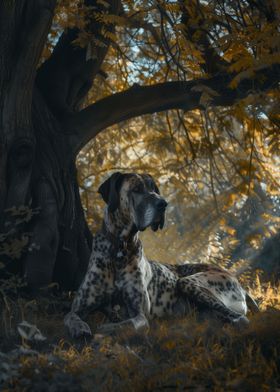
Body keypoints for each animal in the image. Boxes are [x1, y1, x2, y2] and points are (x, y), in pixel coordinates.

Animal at [64, 172, 260, 336]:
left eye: (154, 189)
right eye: (137, 189)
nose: (163, 204)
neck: (120, 247)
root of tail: (240, 284)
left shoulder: (140, 314)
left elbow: (129, 323)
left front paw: (106, 328)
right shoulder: (79, 305)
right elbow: (70, 316)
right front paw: (80, 327)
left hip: (190, 282)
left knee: (241, 318)